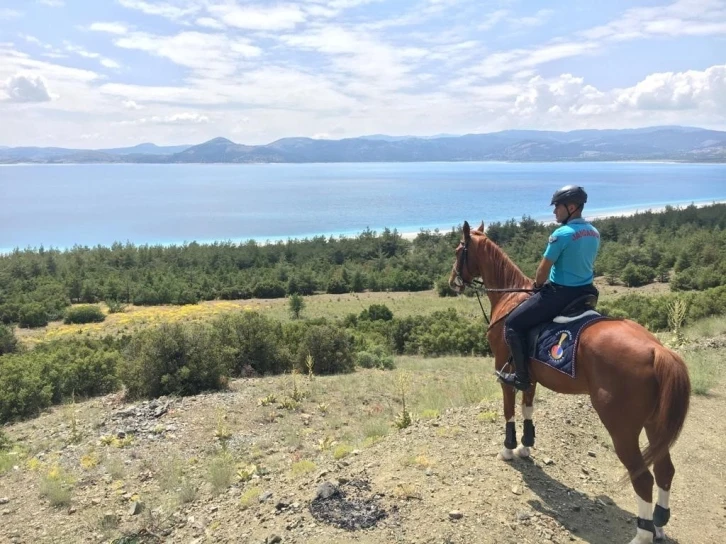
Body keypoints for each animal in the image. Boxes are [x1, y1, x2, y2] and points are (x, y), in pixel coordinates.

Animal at [450, 220, 692, 544]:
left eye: (458, 250)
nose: (452, 282)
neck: (511, 298)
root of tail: (658, 350)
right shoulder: (529, 377)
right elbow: (527, 407)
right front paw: (526, 446)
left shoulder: (505, 371)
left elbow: (509, 411)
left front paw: (509, 449)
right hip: (656, 424)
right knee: (665, 470)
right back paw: (659, 524)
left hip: (622, 428)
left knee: (643, 477)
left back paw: (642, 533)